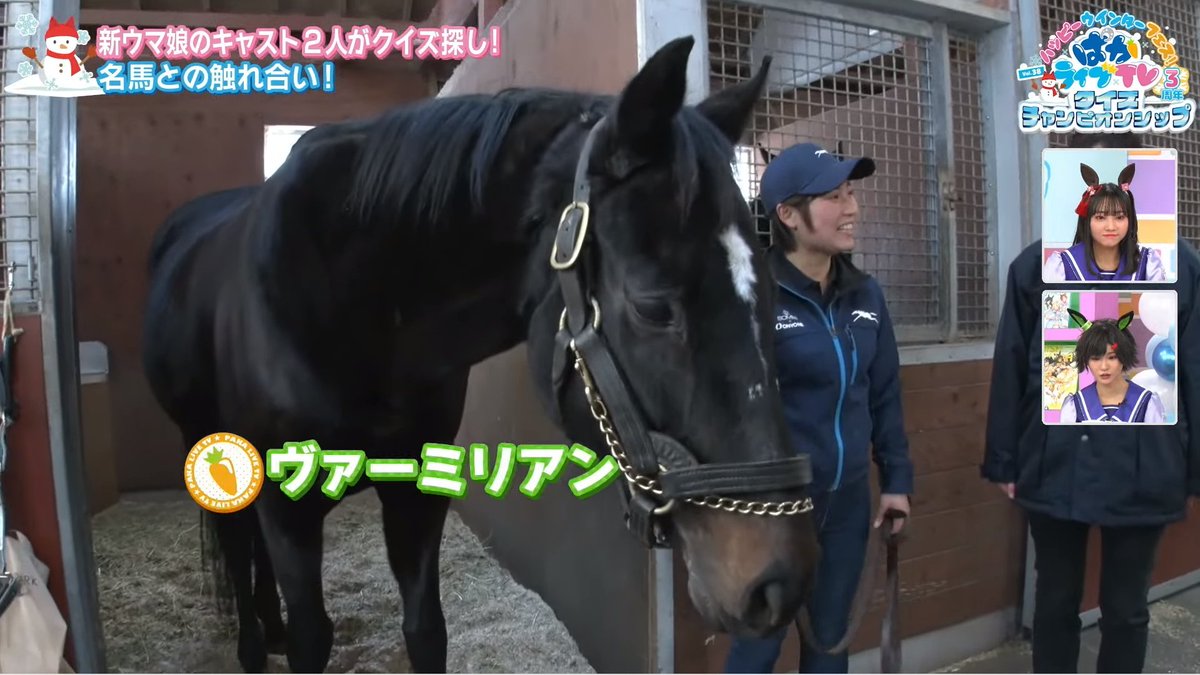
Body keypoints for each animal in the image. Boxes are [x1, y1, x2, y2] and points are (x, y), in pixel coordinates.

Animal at [140, 38, 820, 672]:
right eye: (653, 307)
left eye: (767, 286)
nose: (778, 585)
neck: (360, 304)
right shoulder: (289, 508)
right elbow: (313, 637)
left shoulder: (414, 489)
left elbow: (425, 631)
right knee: (236, 545)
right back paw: (255, 645)